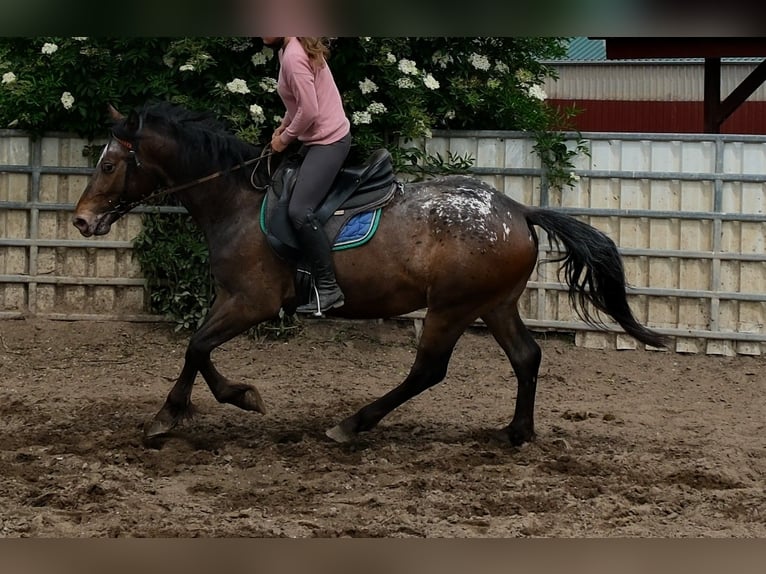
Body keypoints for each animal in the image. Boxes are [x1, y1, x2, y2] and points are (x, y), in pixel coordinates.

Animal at [72, 101, 668, 447]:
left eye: (109, 164)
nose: (81, 220)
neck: (237, 200)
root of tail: (518, 210)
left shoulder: (252, 302)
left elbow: (197, 346)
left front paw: (182, 413)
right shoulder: (232, 298)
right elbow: (197, 347)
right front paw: (216, 401)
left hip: (451, 308)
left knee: (428, 371)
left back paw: (352, 424)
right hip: (493, 304)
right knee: (526, 356)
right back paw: (517, 433)